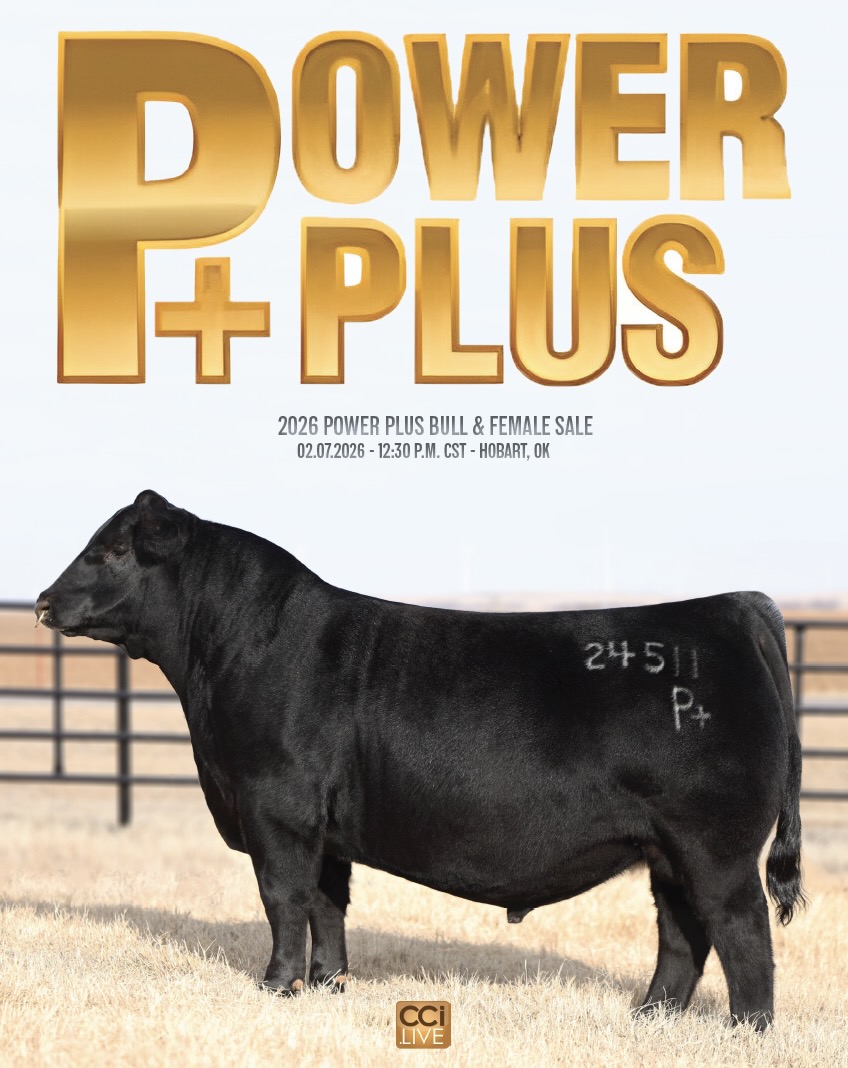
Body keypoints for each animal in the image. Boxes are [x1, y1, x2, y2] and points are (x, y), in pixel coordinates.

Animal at [34, 490, 804, 1029]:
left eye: (109, 552)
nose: (41, 601)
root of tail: (734, 607)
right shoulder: (324, 827)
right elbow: (327, 903)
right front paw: (328, 984)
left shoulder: (275, 806)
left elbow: (283, 897)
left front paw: (276, 985)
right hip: (666, 848)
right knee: (682, 935)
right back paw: (650, 1019)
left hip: (715, 844)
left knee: (742, 932)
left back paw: (746, 1031)